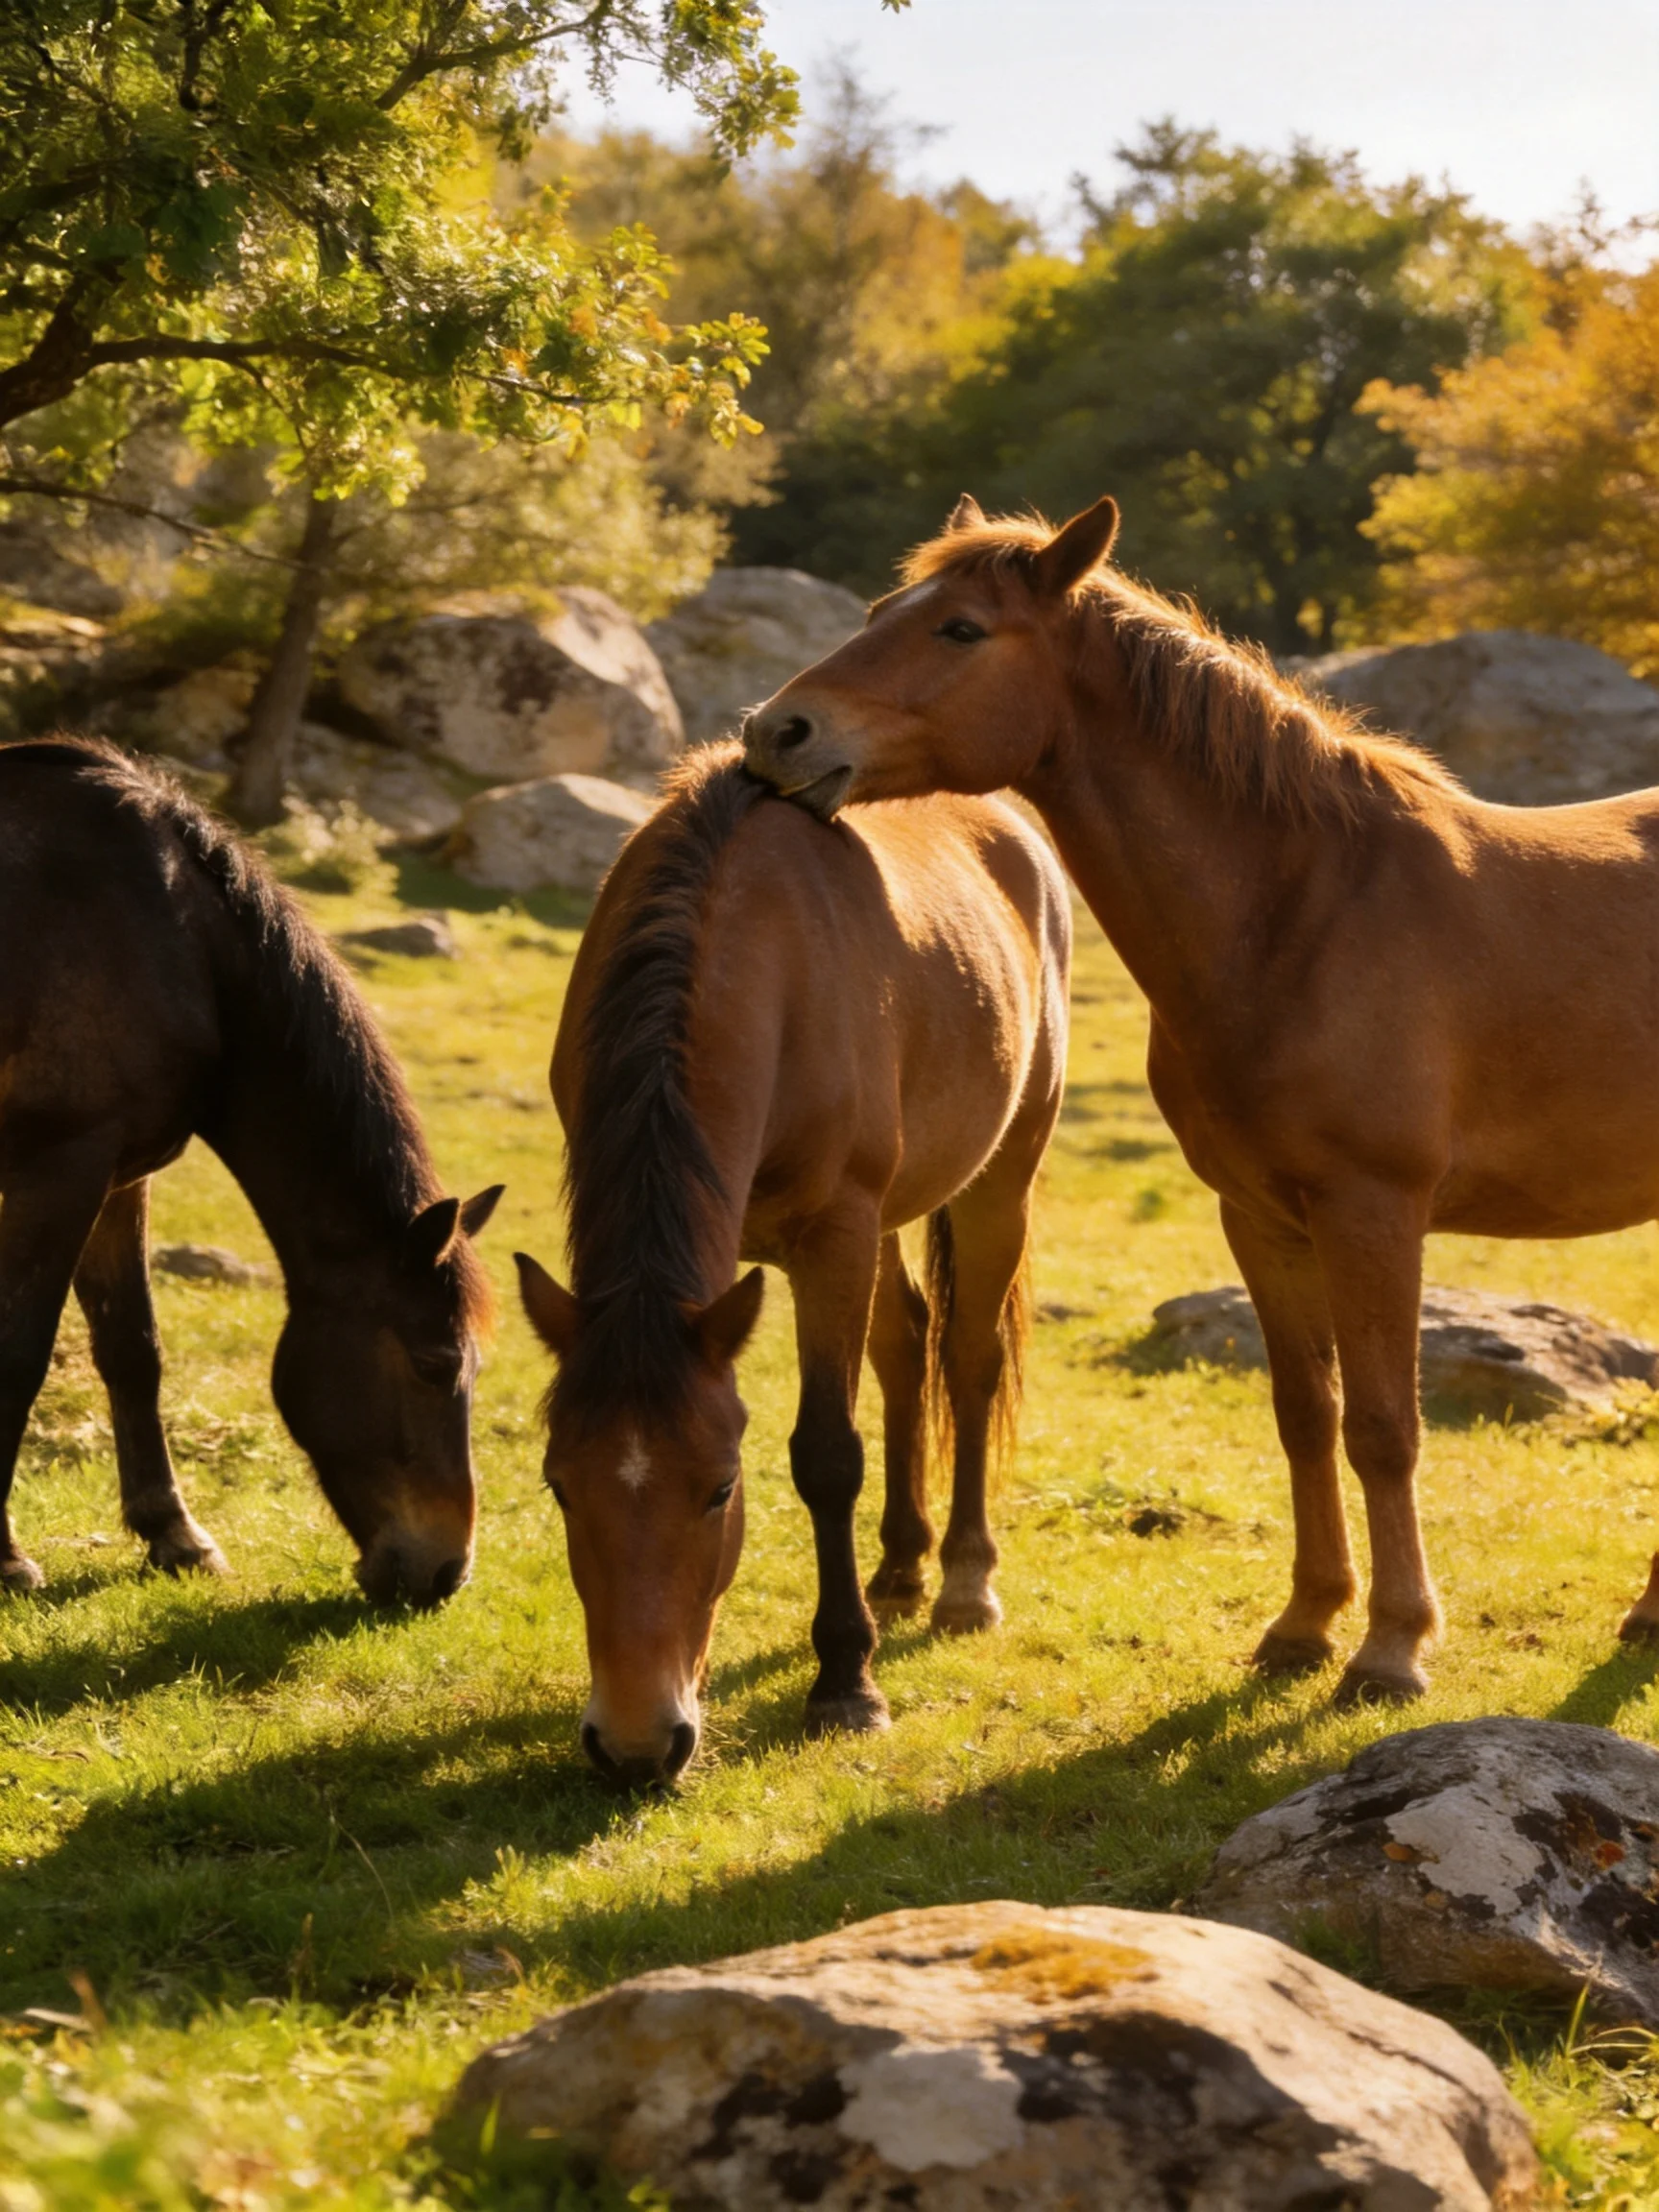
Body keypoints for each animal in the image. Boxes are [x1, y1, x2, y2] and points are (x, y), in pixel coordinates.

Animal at [0, 737, 501, 1604]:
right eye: (435, 1364)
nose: (446, 1572)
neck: (168, 936)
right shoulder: (57, 1170)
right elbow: (17, 1356)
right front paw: (4, 1557)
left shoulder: (119, 1179)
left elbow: (132, 1350)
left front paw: (174, 1533)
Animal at [514, 740, 1070, 1785]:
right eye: (560, 1485)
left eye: (720, 1489)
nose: (637, 1745)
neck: (749, 952)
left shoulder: (833, 1236)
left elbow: (827, 1454)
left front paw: (846, 1684)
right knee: (905, 1345)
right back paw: (901, 1565)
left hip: (998, 1180)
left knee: (967, 1359)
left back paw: (963, 1581)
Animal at [743, 491, 1659, 1705]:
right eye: (879, 613)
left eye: (961, 629)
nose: (776, 734)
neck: (1304, 910)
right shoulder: (1261, 1217)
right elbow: (1307, 1415)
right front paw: (1307, 1624)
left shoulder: (1374, 1213)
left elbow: (1384, 1427)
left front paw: (1393, 1647)